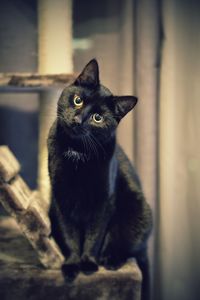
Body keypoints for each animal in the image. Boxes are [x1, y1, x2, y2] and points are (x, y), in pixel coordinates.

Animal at [47, 59, 152, 298]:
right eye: (78, 100)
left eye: (98, 118)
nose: (77, 120)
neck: (77, 154)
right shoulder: (61, 198)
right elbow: (70, 234)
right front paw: (72, 264)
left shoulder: (103, 201)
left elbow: (94, 235)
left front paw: (88, 263)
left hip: (139, 211)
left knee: (129, 246)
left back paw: (110, 260)